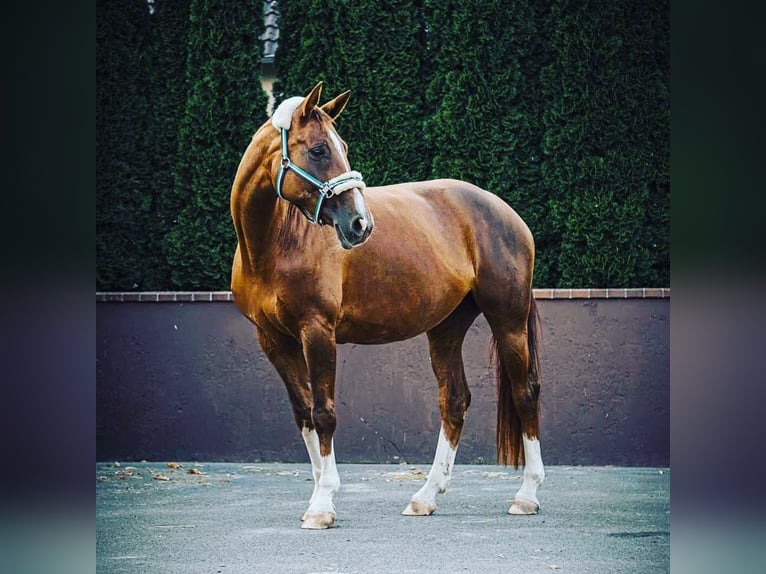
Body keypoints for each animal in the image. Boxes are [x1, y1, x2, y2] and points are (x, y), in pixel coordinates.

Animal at [230, 82, 543, 529]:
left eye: (342, 146)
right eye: (319, 150)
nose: (361, 224)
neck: (275, 242)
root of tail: (505, 212)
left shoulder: (317, 331)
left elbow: (324, 413)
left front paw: (323, 503)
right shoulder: (274, 341)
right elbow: (304, 413)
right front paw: (319, 493)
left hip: (509, 320)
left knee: (525, 392)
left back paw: (526, 495)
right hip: (446, 327)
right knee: (454, 400)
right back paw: (425, 497)